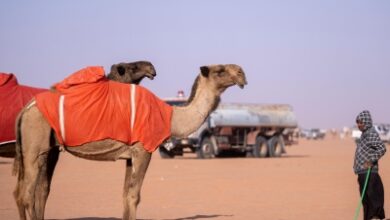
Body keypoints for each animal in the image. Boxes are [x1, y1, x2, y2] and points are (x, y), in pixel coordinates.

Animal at [13, 63, 248, 220]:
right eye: (220, 70)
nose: (241, 73)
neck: (170, 116)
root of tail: (25, 110)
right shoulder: (143, 150)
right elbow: (135, 196)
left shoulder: (129, 156)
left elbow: (125, 194)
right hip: (35, 145)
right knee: (27, 194)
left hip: (45, 149)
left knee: (31, 192)